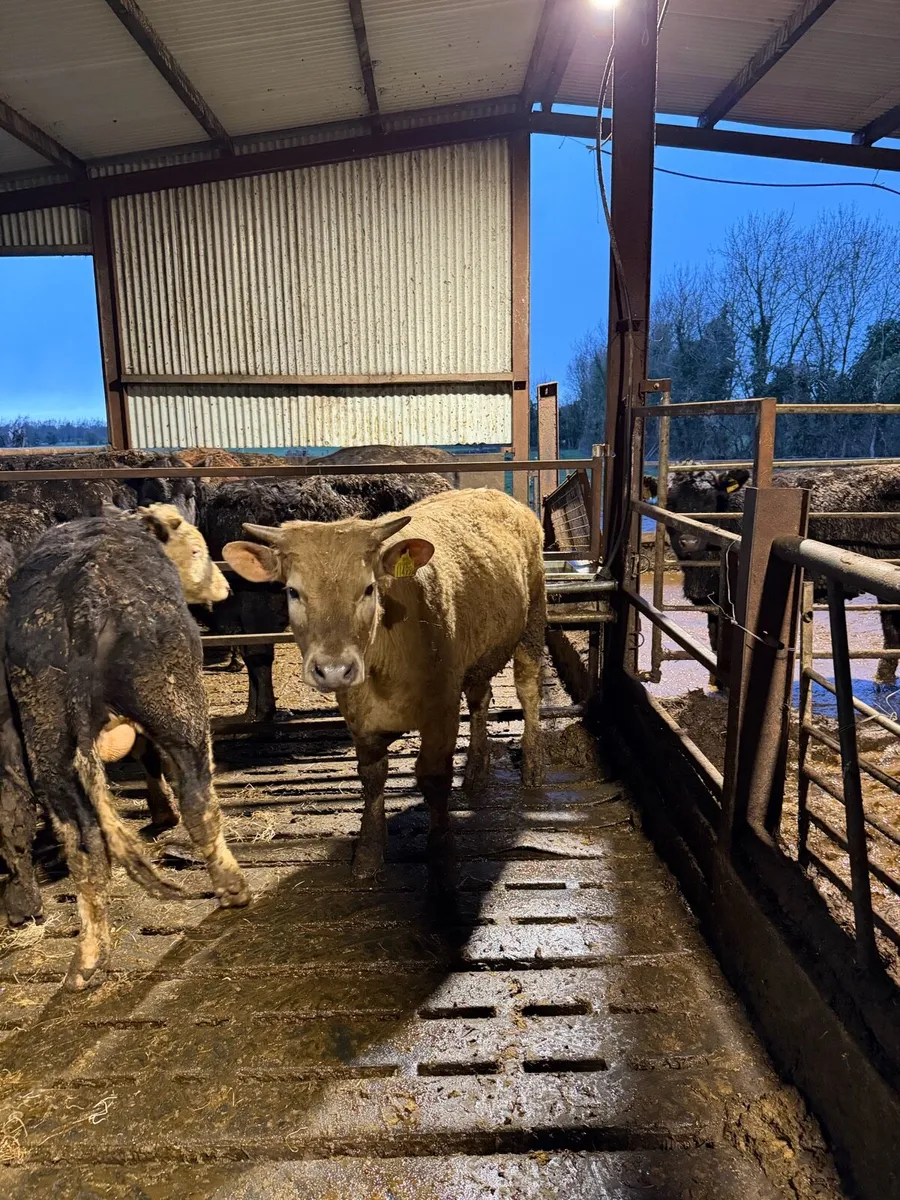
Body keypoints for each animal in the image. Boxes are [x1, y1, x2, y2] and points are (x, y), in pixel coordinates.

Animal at [3, 508, 246, 988]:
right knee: (198, 798)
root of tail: (82, 598)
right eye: (196, 549)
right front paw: (163, 813)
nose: (224, 588)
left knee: (80, 843)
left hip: (47, 737)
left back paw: (89, 958)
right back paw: (232, 888)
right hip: (174, 700)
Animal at [223, 488, 545, 891]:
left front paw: (441, 856)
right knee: (480, 699)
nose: (333, 669)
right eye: (293, 592)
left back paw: (532, 767)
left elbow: (433, 776)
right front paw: (368, 853)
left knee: (528, 689)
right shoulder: (358, 715)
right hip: (477, 654)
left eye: (368, 589)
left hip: (533, 618)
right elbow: (372, 777)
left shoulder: (441, 708)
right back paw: (475, 770)